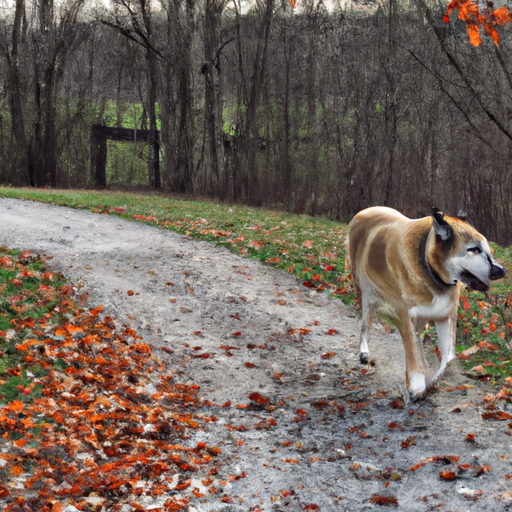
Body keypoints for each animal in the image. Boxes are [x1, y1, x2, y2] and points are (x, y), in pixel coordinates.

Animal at [346, 206, 506, 402]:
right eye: (473, 249)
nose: (501, 271)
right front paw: (417, 385)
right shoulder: (405, 317)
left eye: (487, 249)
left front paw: (429, 381)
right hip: (366, 293)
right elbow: (413, 353)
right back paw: (364, 353)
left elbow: (447, 358)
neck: (431, 270)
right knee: (365, 324)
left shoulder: (445, 316)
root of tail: (365, 211)